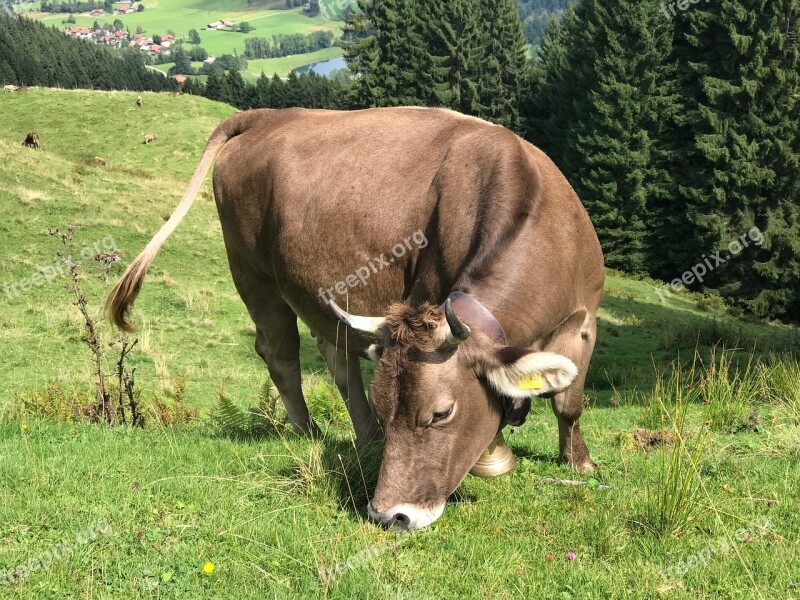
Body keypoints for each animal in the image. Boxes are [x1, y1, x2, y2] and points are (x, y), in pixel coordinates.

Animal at [109, 108, 604, 528]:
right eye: (390, 407)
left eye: (441, 414)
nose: (391, 515)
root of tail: (267, 115)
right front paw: (494, 457)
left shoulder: (585, 323)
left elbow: (568, 402)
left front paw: (578, 461)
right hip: (253, 274)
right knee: (281, 355)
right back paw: (309, 429)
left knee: (338, 360)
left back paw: (365, 437)